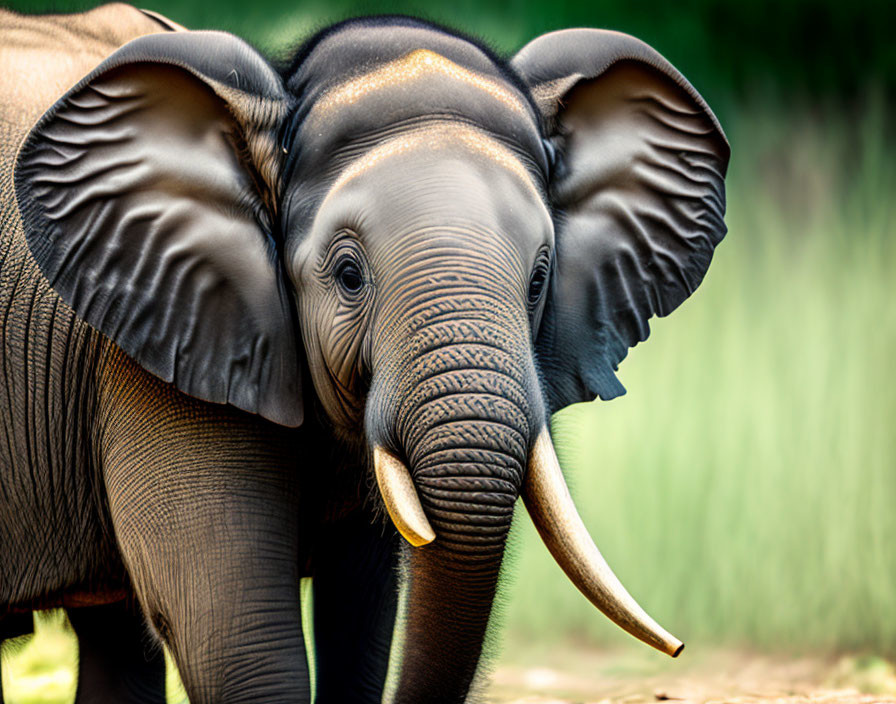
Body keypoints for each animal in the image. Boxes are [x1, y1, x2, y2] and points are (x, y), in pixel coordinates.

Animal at [0, 5, 728, 704]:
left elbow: (362, 625)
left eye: (539, 280)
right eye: (349, 276)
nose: (680, 649)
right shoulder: (157, 344)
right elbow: (241, 650)